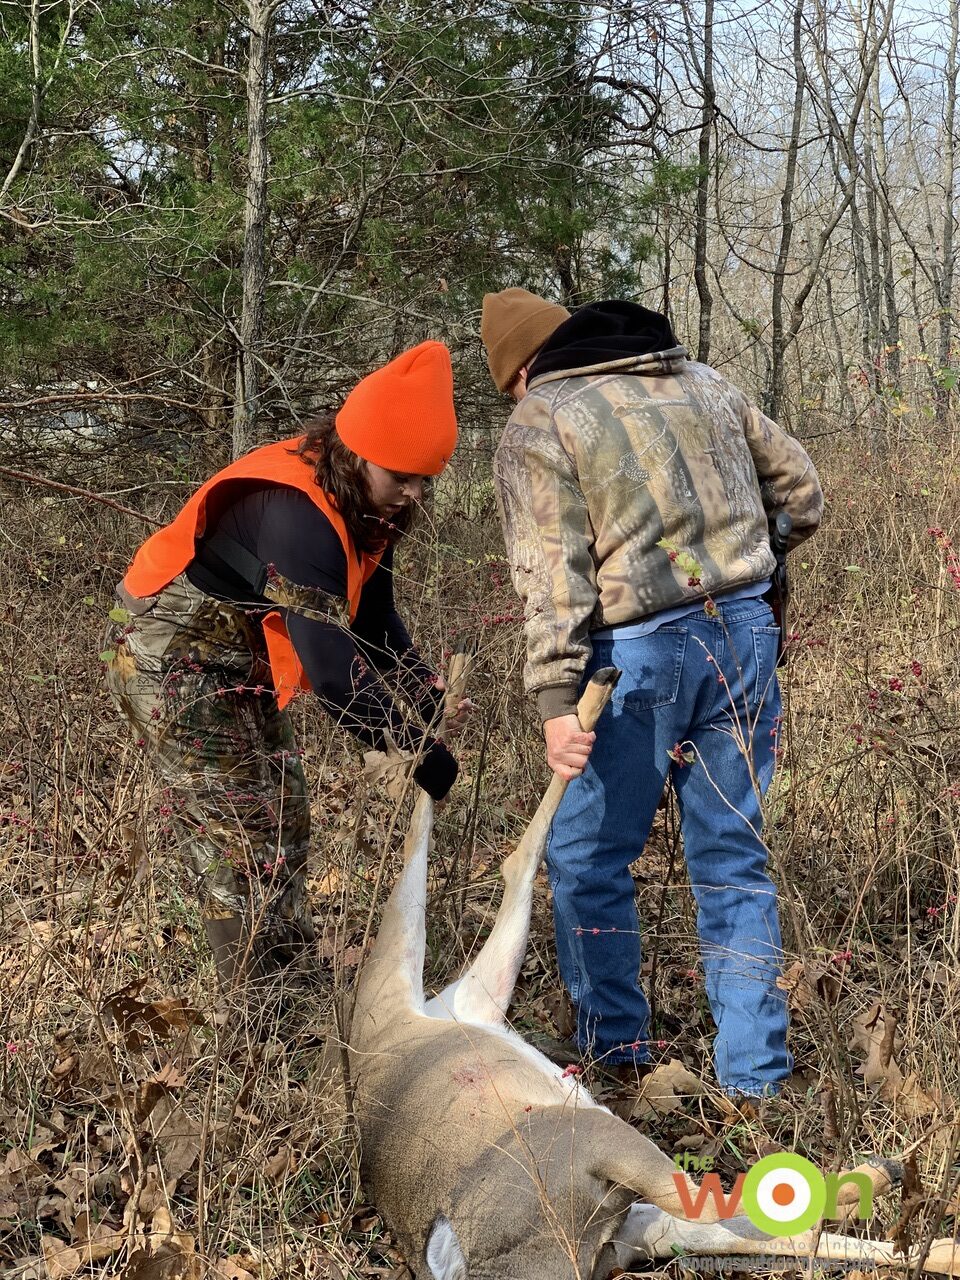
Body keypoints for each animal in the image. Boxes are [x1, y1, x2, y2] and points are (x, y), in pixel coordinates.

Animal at [350, 670, 960, 1280]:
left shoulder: (630, 1228)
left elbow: (757, 1228)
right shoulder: (590, 1152)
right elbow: (734, 1213)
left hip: (481, 1010)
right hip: (433, 1002)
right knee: (506, 861)